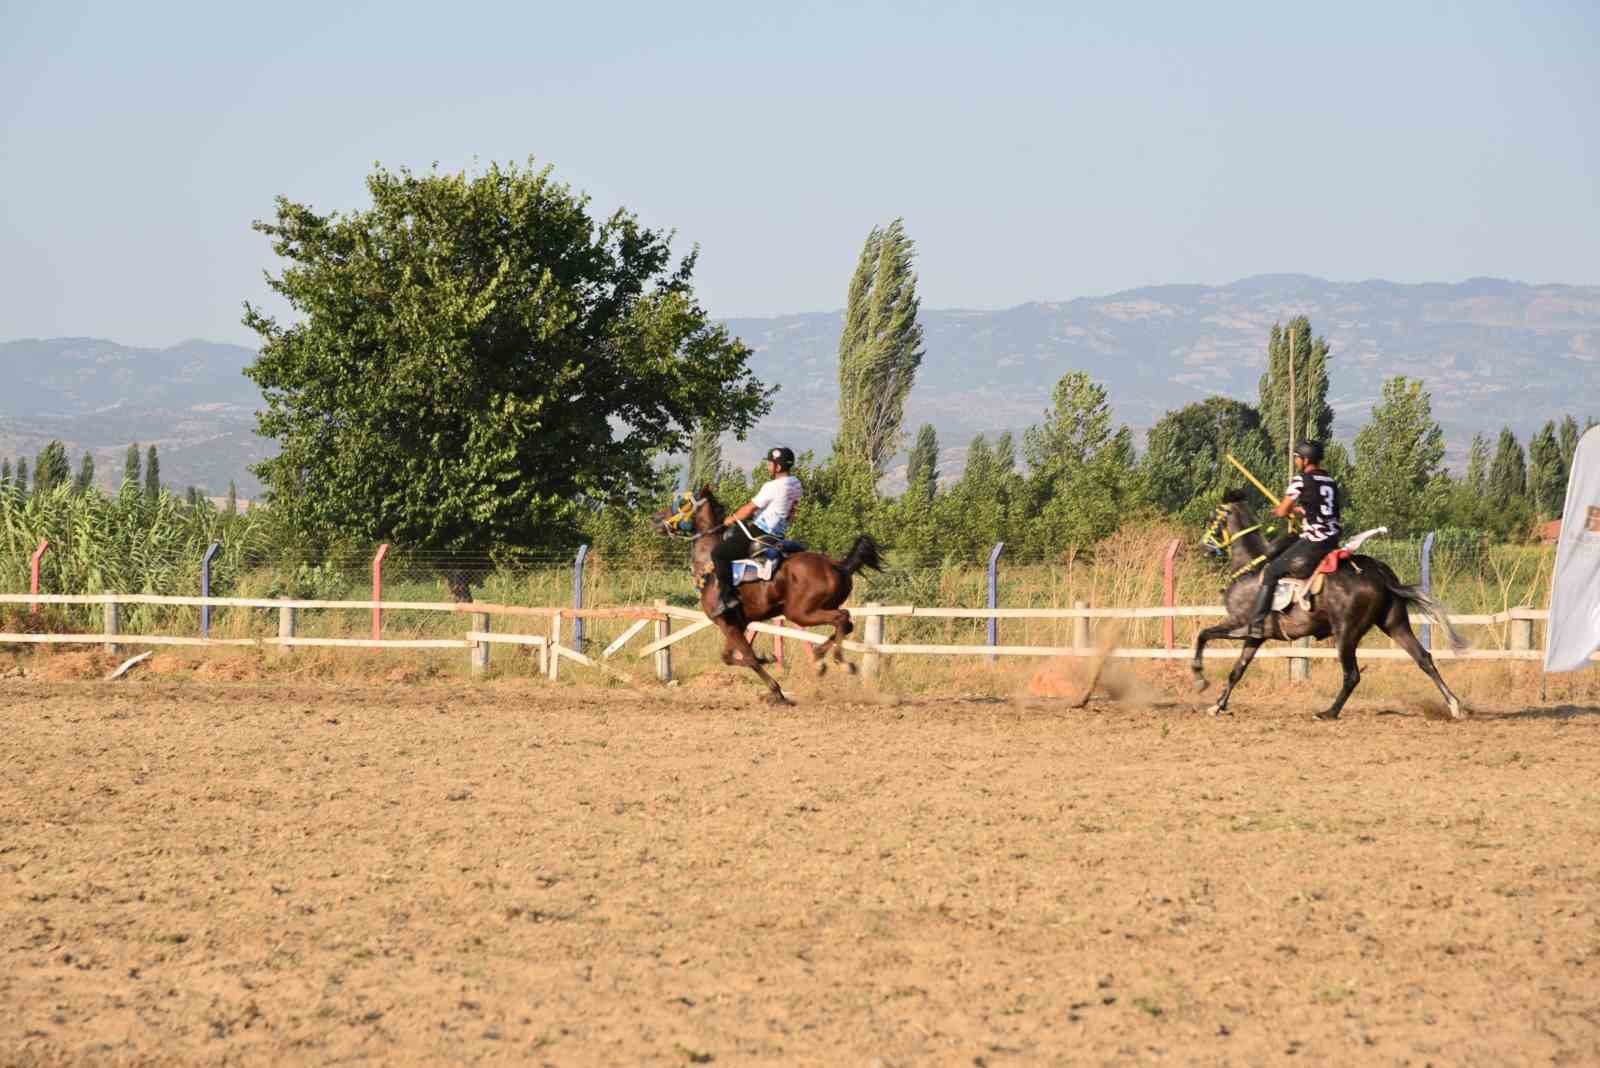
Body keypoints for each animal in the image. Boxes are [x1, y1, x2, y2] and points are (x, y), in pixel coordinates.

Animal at [659, 482, 889, 700]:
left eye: (683, 503)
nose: (657, 518)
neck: (709, 567)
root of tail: (838, 565)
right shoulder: (737, 623)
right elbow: (730, 657)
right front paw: (768, 658)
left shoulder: (726, 622)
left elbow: (748, 657)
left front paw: (776, 690)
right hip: (819, 608)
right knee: (846, 623)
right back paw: (819, 658)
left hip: (800, 613)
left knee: (841, 618)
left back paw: (838, 662)